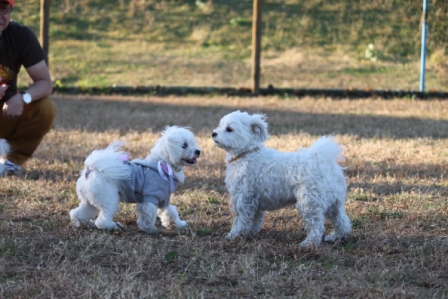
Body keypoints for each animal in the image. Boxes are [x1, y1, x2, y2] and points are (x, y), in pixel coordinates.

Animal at [69, 126, 200, 234]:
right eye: (184, 145)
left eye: (193, 143)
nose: (198, 151)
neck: (164, 164)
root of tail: (90, 169)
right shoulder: (150, 197)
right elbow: (148, 215)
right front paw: (149, 229)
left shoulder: (164, 199)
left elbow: (171, 212)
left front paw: (180, 224)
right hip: (109, 199)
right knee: (102, 221)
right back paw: (114, 226)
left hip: (90, 201)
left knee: (79, 213)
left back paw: (84, 223)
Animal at [212, 111, 352, 247]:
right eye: (220, 125)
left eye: (229, 129)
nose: (213, 133)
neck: (247, 154)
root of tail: (323, 160)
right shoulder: (254, 200)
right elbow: (255, 220)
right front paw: (250, 233)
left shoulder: (243, 198)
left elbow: (241, 220)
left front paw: (234, 235)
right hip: (334, 202)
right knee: (342, 221)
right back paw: (336, 237)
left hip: (309, 202)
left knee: (316, 226)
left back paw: (308, 243)